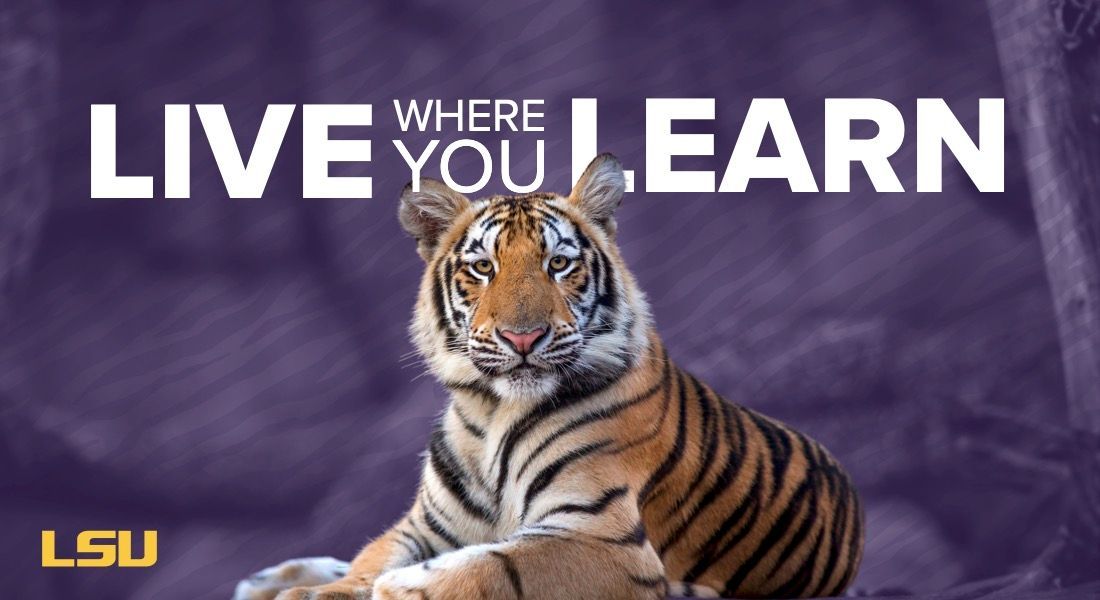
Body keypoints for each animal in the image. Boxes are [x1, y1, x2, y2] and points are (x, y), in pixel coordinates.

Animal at [234, 154, 864, 600]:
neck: (490, 412)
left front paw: (406, 587)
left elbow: (493, 566)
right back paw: (268, 579)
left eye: (558, 263)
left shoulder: (601, 536)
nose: (522, 338)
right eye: (482, 267)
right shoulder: (426, 525)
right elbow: (374, 556)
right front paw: (318, 592)